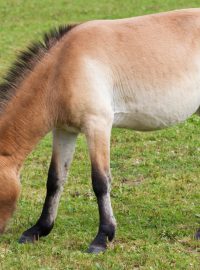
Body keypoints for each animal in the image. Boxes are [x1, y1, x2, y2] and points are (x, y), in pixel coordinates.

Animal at [0, 8, 200, 253]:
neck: (62, 67)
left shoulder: (98, 125)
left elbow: (100, 181)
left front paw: (102, 238)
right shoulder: (64, 130)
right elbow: (55, 179)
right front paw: (38, 230)